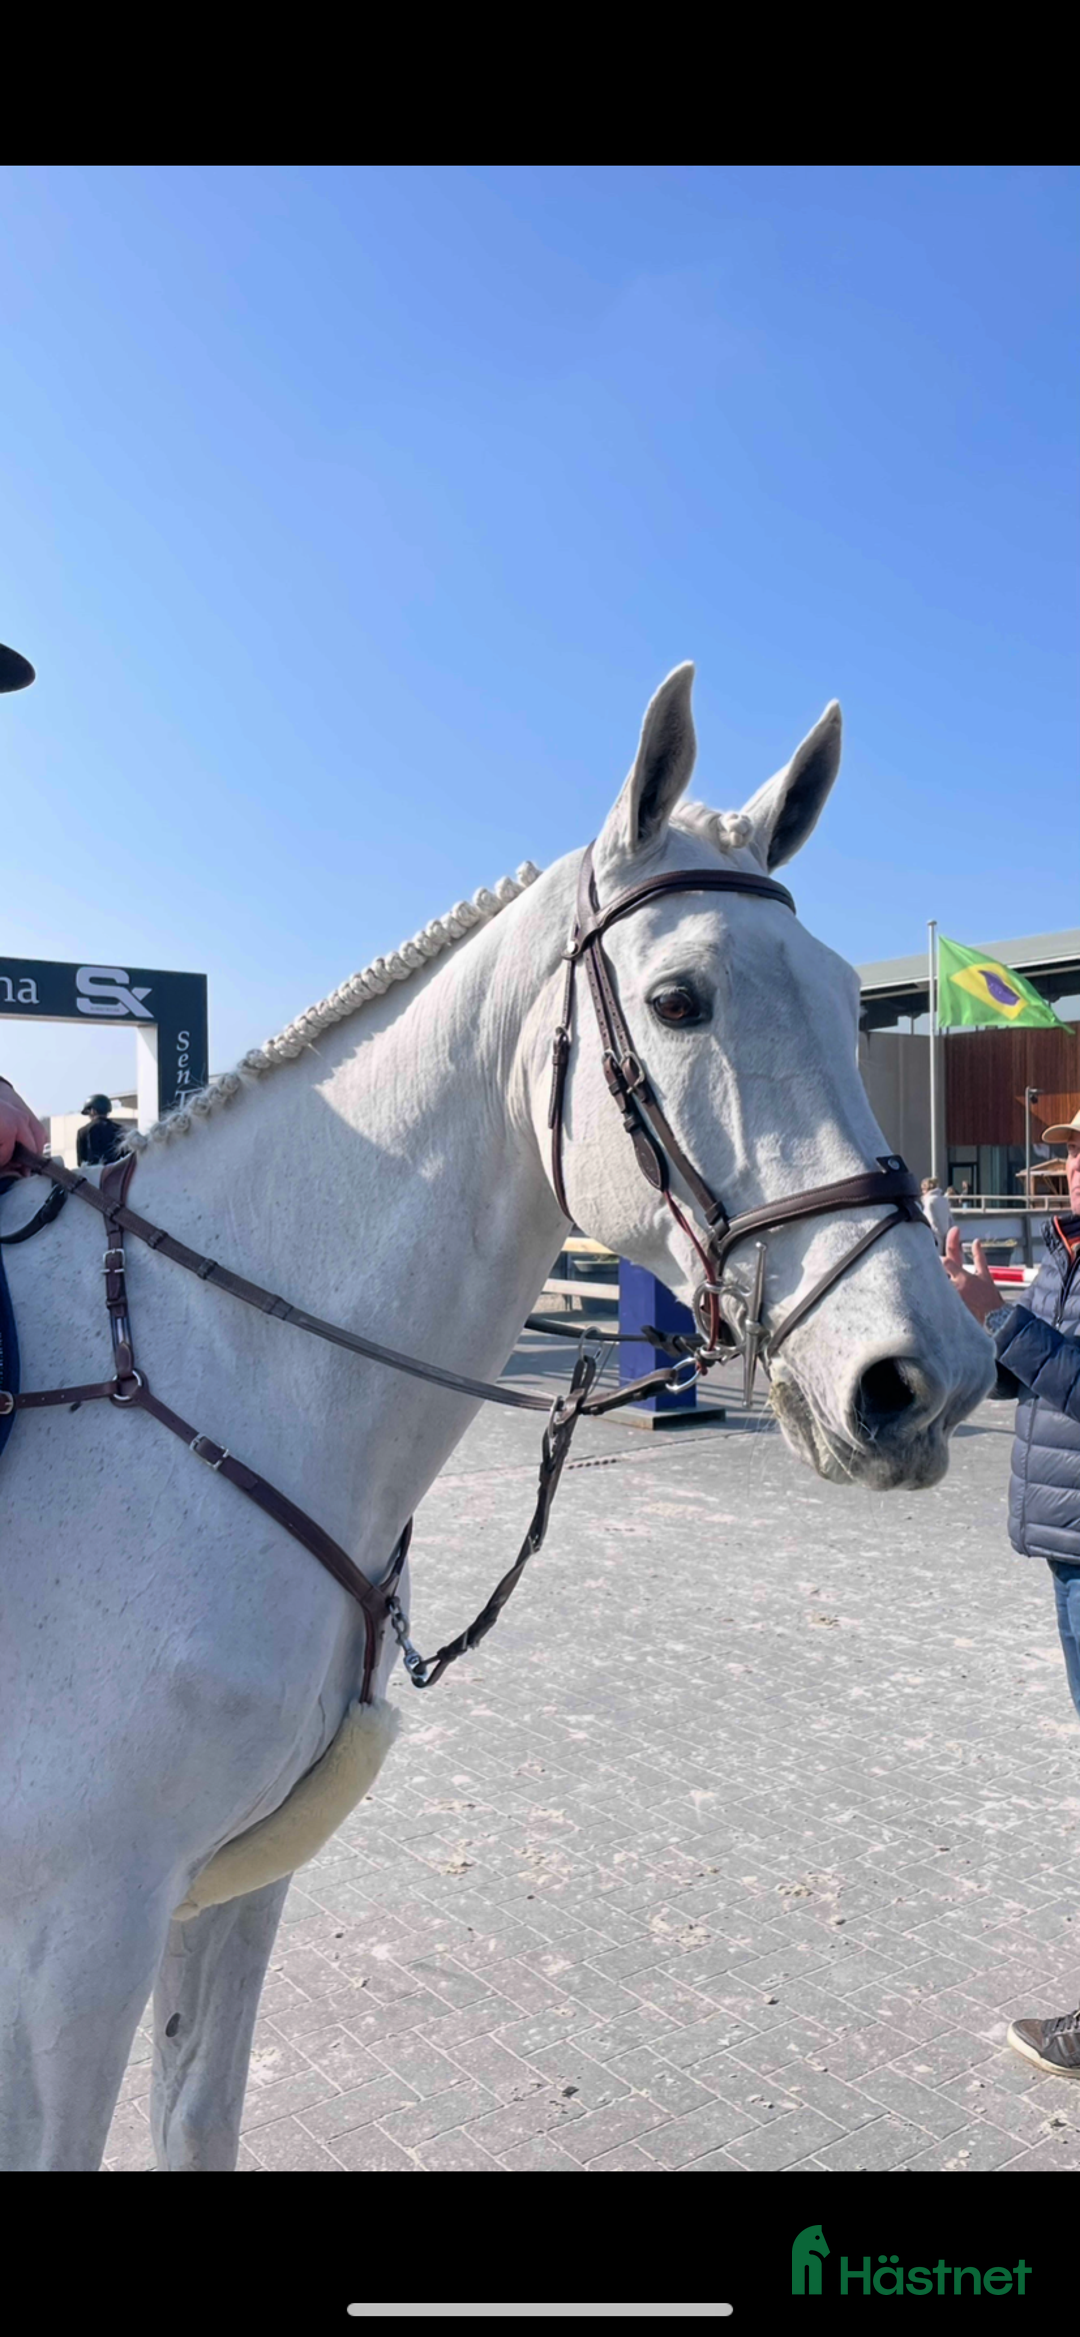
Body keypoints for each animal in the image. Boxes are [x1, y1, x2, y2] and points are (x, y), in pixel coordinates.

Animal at [0, 665, 994, 2169]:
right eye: (679, 998)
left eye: (842, 994)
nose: (926, 1375)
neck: (218, 1378)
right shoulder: (78, 1936)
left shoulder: (224, 1900)